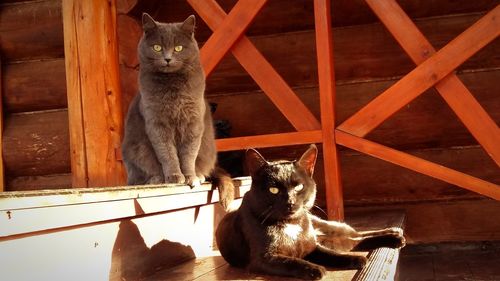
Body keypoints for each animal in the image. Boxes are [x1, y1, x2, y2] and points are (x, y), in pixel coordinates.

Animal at [122, 13, 233, 208]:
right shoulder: (157, 123)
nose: (167, 59)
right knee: (139, 176)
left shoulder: (192, 122)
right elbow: (167, 152)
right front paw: (174, 176)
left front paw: (190, 177)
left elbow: (188, 153)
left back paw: (199, 175)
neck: (172, 86)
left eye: (178, 48)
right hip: (134, 151)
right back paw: (156, 179)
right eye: (157, 47)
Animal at [216, 145, 406, 278]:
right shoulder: (263, 259)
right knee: (354, 241)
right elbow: (290, 261)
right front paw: (314, 269)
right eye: (273, 190)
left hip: (326, 226)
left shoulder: (313, 246)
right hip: (333, 239)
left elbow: (331, 255)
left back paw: (394, 234)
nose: (290, 202)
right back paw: (394, 237)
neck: (290, 225)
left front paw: (354, 259)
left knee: (356, 234)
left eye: (299, 187)